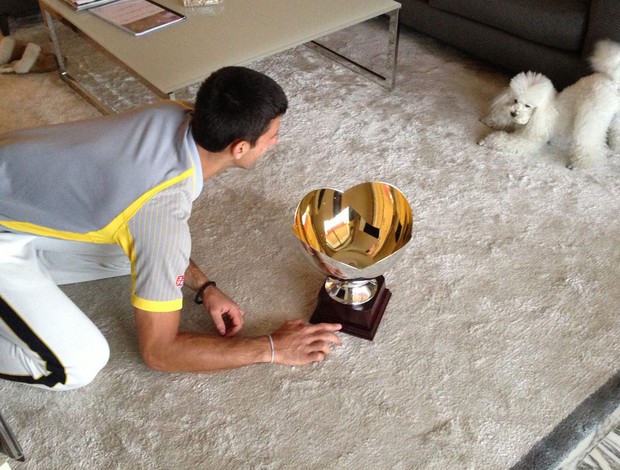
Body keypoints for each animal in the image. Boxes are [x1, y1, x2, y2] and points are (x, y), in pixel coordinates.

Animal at [480, 39, 620, 169]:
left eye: (528, 105)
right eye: (515, 100)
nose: (513, 113)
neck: (542, 113)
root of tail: (613, 82)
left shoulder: (529, 139)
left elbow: (505, 141)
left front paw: (486, 140)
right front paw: (489, 120)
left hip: (591, 118)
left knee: (589, 145)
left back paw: (579, 165)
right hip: (616, 118)